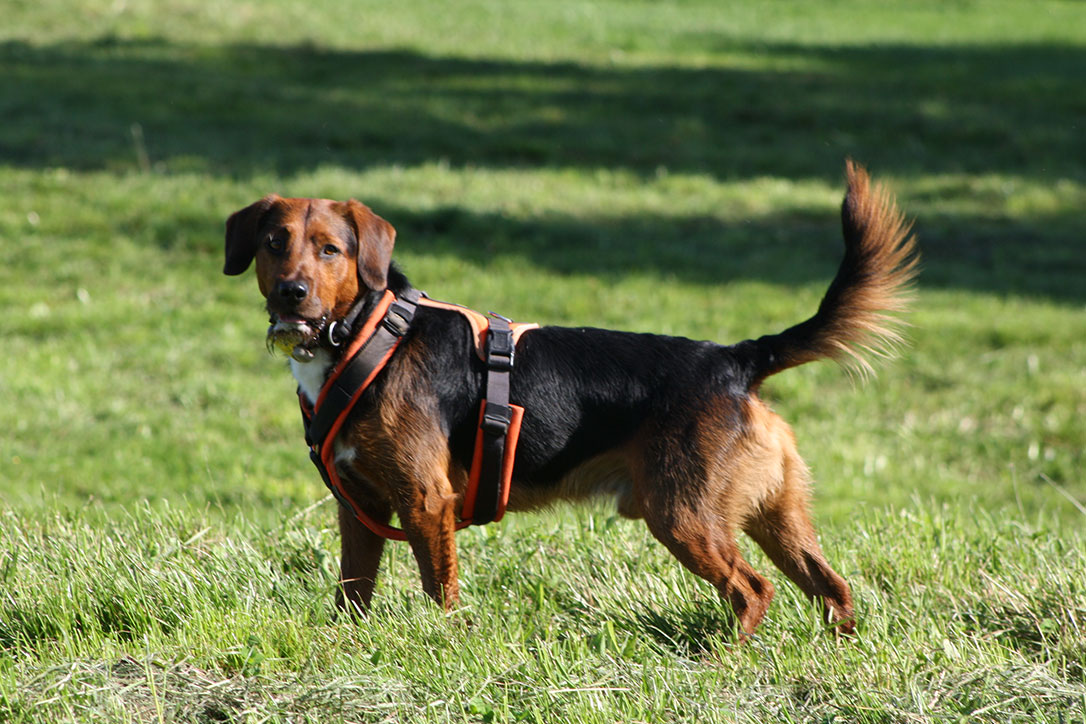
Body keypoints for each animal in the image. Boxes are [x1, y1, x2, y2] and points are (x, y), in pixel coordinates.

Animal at [226, 161, 916, 638]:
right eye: (274, 243)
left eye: (330, 250)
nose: (291, 293)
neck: (370, 335)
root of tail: (734, 358)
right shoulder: (362, 504)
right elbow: (353, 589)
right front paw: (348, 643)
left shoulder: (425, 503)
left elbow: (438, 588)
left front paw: (442, 644)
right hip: (774, 515)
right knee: (832, 587)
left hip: (684, 515)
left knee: (754, 591)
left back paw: (720, 657)